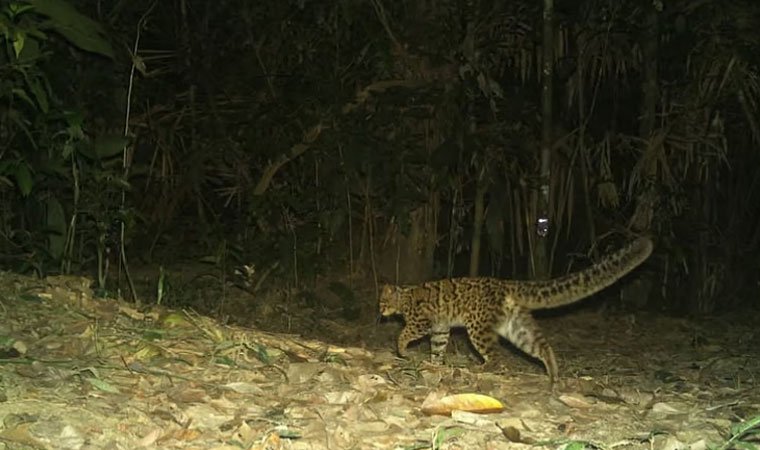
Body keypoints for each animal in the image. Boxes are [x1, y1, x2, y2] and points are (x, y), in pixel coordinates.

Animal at [380, 236, 652, 384]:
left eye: (382, 303)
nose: (380, 312)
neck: (404, 296)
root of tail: (504, 283)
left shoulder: (421, 322)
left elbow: (404, 334)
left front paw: (403, 351)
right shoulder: (440, 328)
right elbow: (437, 347)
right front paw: (435, 363)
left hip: (477, 328)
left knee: (496, 354)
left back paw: (482, 368)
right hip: (516, 326)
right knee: (541, 345)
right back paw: (553, 374)